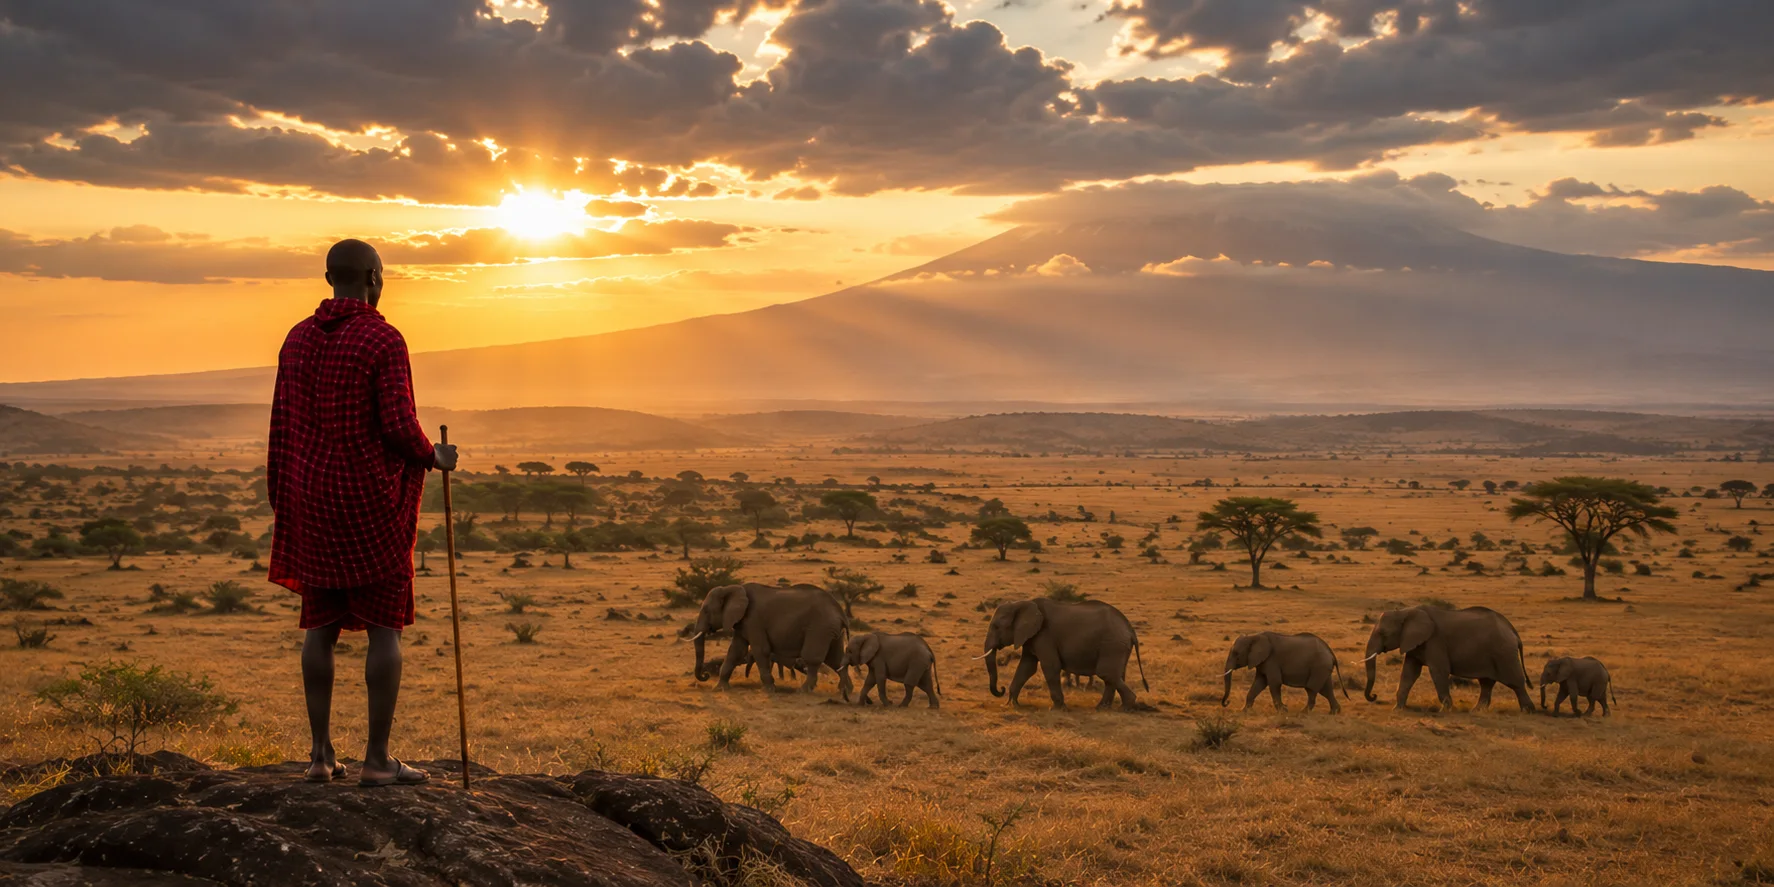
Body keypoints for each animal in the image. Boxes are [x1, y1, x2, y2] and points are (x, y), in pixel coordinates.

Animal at [689, 583, 853, 699]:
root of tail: (840, 613)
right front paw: (719, 688)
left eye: (706, 610)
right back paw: (846, 691)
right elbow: (736, 651)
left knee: (813, 658)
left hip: (820, 628)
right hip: (831, 630)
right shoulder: (742, 623)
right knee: (836, 659)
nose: (705, 675)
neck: (732, 588)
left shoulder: (754, 620)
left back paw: (803, 691)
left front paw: (769, 689)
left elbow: (760, 650)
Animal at [978, 598, 1148, 710]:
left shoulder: (1044, 635)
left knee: (1107, 673)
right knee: (1115, 676)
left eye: (996, 626)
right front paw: (1012, 704)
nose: (1001, 689)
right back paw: (1102, 708)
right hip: (1118, 646)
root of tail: (1130, 630)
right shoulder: (1031, 636)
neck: (1021, 604)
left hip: (1112, 644)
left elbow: (1050, 666)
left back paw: (1125, 707)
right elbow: (1027, 667)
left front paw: (1057, 708)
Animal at [1220, 631, 1349, 713]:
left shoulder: (1272, 660)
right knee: (1326, 690)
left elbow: (1274, 683)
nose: (1227, 702)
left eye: (1236, 654)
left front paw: (1283, 711)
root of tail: (1331, 653)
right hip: (1323, 668)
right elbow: (1259, 683)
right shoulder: (1263, 662)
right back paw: (1335, 712)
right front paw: (1243, 711)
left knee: (1311, 689)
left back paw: (1303, 713)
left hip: (1319, 667)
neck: (1254, 636)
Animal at [1362, 605, 1534, 712]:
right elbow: (1409, 673)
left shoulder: (1435, 640)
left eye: (1383, 633)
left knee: (1515, 682)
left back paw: (1528, 711)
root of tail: (1513, 630)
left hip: (1504, 653)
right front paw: (1397, 709)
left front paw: (1446, 710)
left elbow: (1438, 671)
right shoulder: (1414, 643)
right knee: (1486, 683)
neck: (1406, 612)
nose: (1374, 696)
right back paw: (1476, 711)